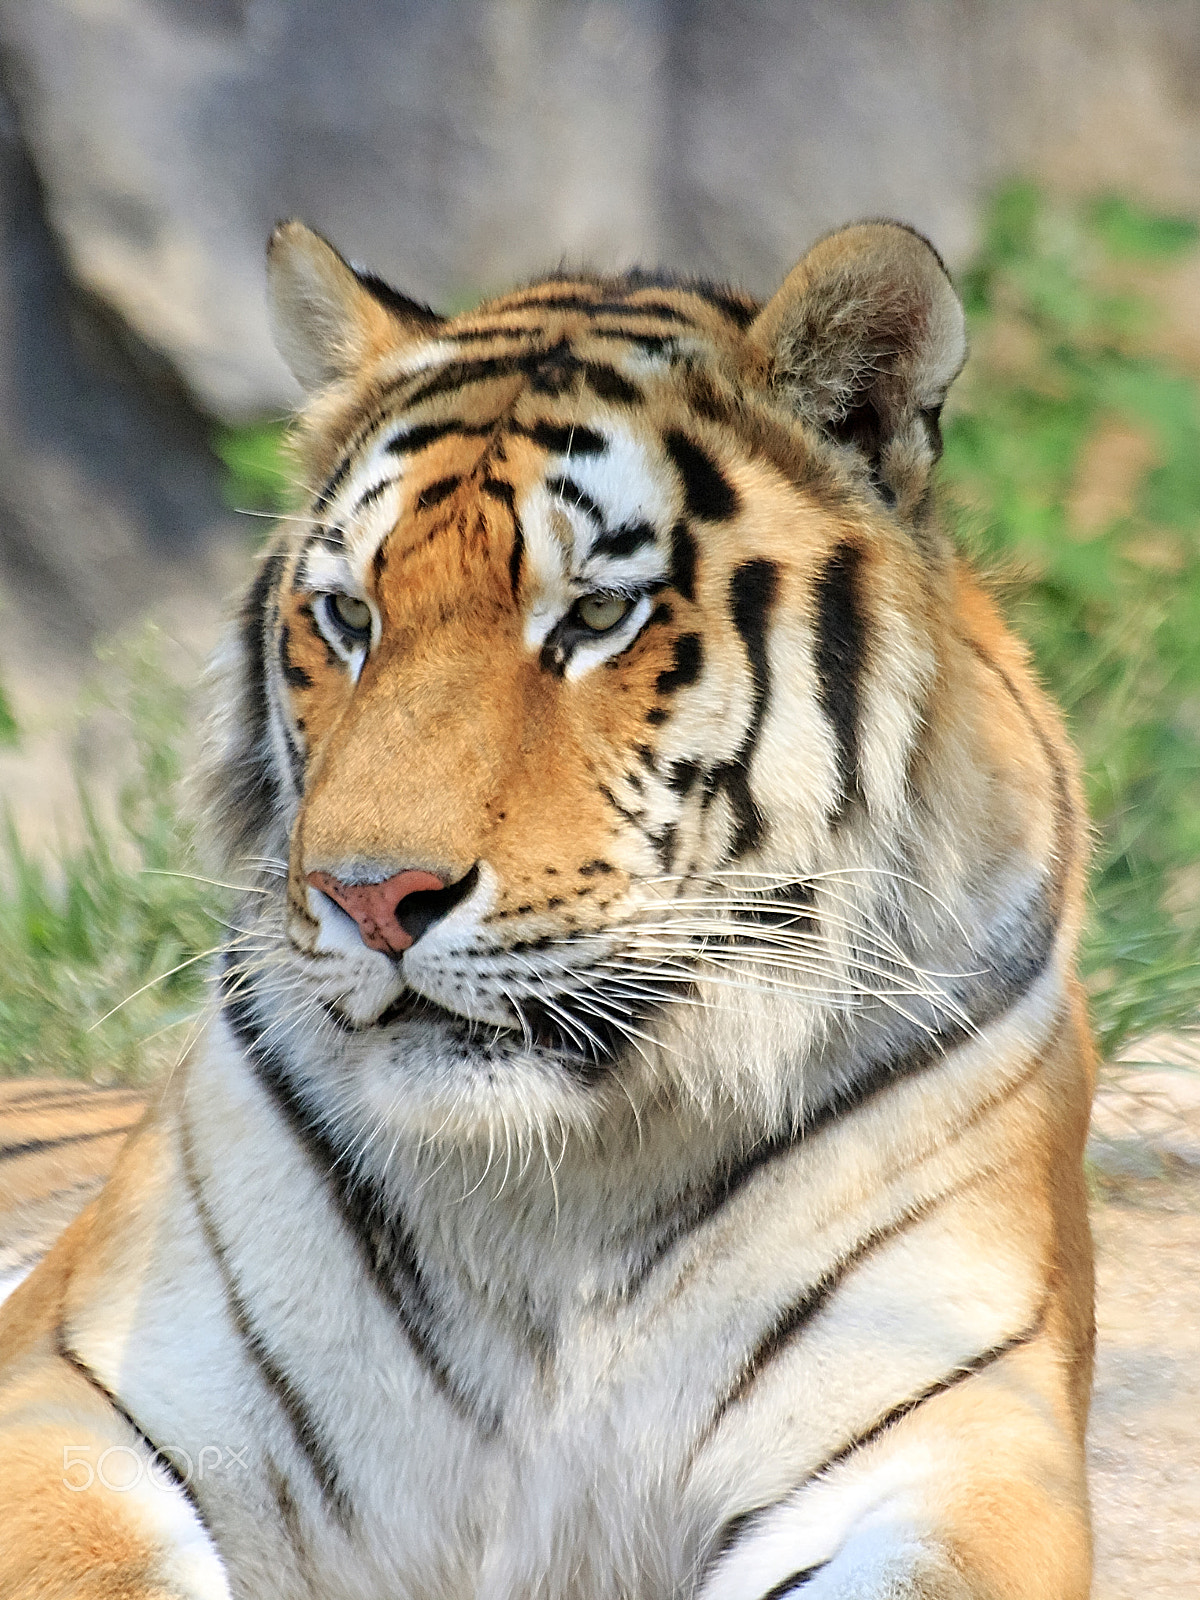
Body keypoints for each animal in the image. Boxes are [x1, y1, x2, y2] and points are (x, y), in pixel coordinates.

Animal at [0, 216, 1095, 1600]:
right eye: (350, 616)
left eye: (597, 615)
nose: (369, 897)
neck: (558, 1186)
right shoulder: (76, 1387)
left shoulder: (954, 1433)